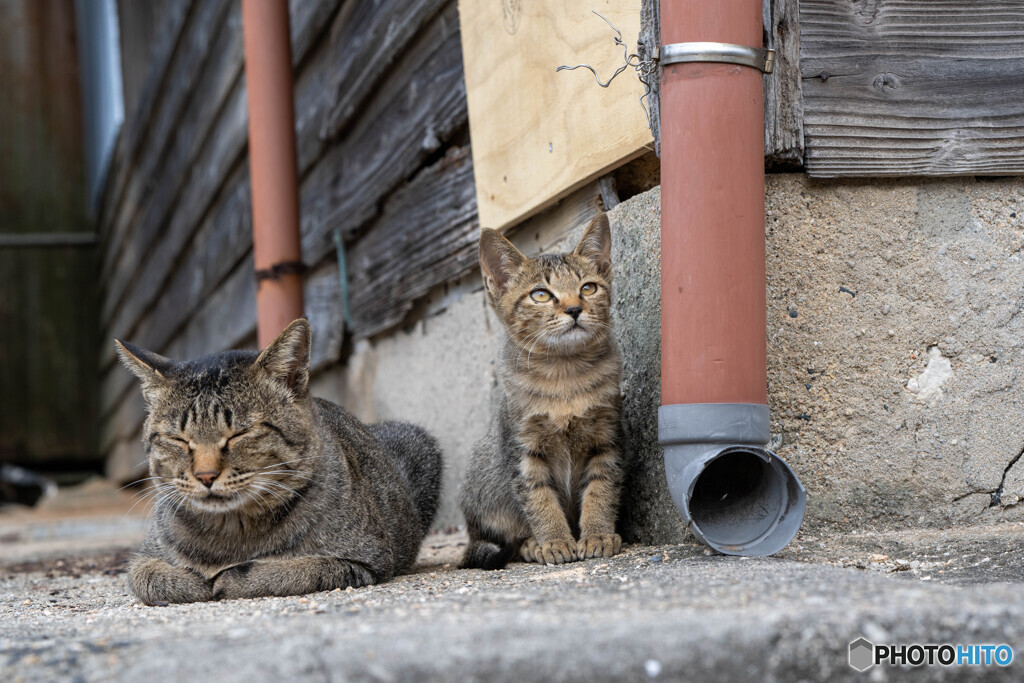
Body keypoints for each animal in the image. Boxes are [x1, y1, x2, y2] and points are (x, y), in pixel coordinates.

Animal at [117, 321, 442, 602]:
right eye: (178, 439)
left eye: (239, 434)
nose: (205, 475)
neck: (231, 532)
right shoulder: (144, 558)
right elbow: (149, 578)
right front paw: (196, 580)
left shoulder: (365, 559)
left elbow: (293, 570)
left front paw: (227, 579)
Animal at [462, 211, 622, 565]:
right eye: (541, 294)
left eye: (588, 287)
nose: (574, 309)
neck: (564, 375)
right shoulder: (522, 449)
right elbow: (539, 499)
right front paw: (555, 541)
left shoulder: (606, 437)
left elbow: (602, 488)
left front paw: (597, 534)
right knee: (509, 536)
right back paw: (532, 544)